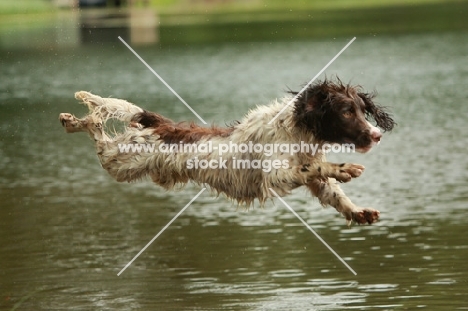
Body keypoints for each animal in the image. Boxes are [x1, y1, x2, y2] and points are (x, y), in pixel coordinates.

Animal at [58, 80, 394, 225]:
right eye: (346, 112)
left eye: (362, 109)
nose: (377, 135)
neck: (297, 131)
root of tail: (160, 126)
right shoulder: (275, 176)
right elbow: (316, 169)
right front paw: (346, 169)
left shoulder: (310, 178)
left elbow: (332, 191)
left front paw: (359, 211)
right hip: (120, 161)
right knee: (97, 132)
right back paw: (75, 120)